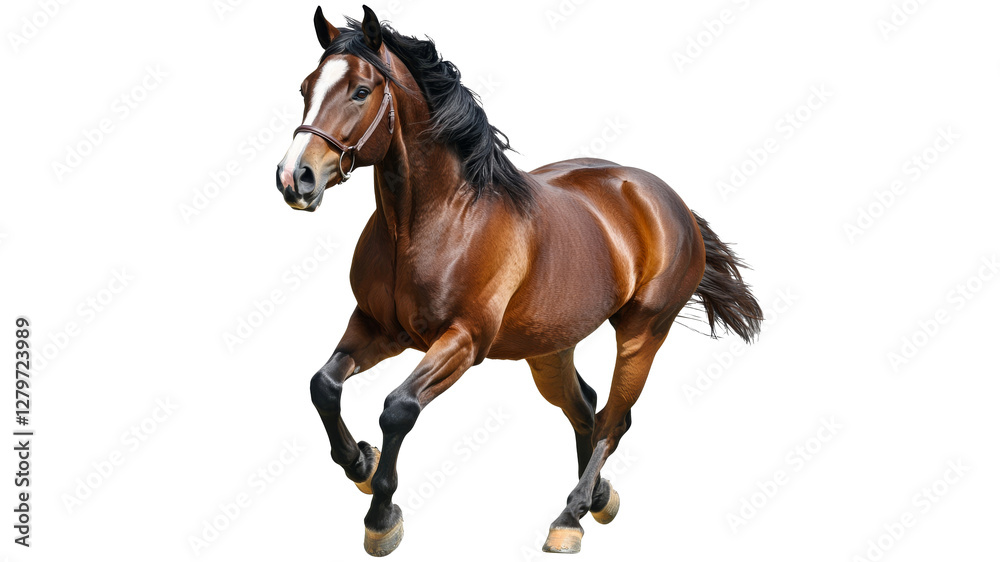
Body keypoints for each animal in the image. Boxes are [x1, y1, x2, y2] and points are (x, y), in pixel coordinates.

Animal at [275, 6, 762, 556]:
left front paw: (381, 518)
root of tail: (665, 197)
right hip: (549, 347)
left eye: (361, 90)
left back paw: (569, 518)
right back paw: (597, 498)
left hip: (642, 334)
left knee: (613, 420)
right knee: (585, 409)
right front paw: (361, 461)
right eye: (305, 87)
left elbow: (397, 408)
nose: (295, 178)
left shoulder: (464, 341)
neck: (433, 222)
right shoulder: (377, 327)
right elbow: (323, 386)